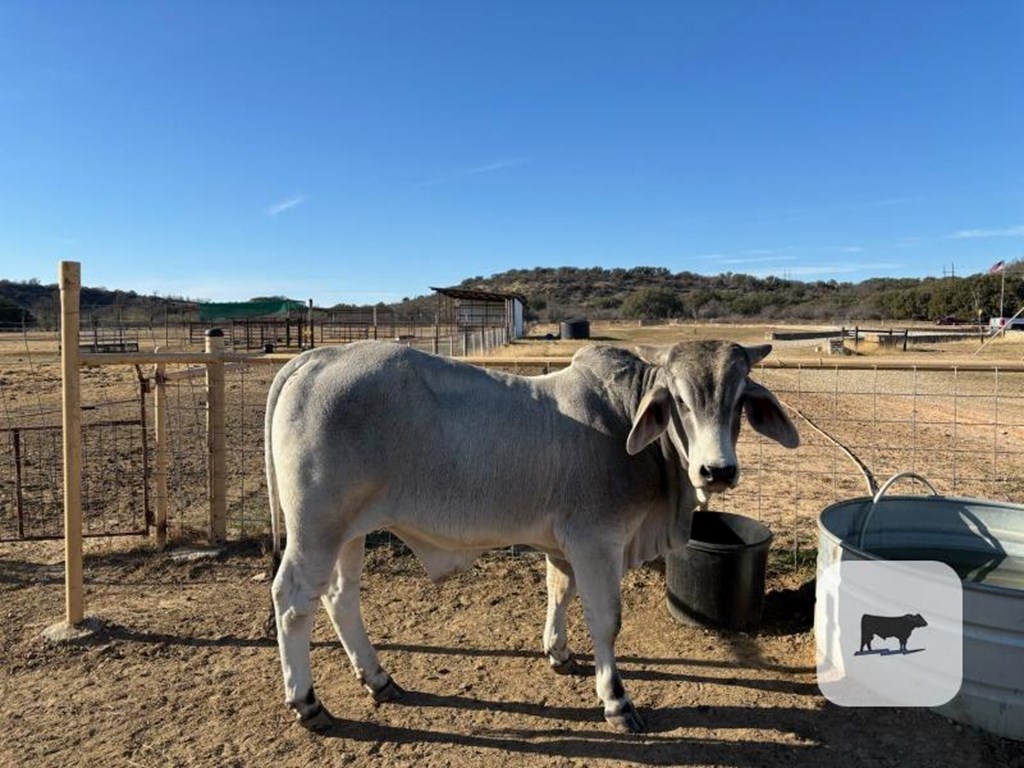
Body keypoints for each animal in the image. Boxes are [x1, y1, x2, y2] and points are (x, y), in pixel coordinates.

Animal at [266, 342, 798, 733]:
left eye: (738, 401)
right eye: (682, 403)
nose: (717, 471)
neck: (624, 418)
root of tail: (314, 358)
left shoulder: (563, 544)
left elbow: (558, 592)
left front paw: (558, 653)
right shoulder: (597, 541)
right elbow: (606, 621)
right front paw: (616, 700)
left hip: (349, 532)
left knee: (340, 598)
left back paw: (377, 679)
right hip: (316, 530)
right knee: (292, 601)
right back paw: (307, 703)